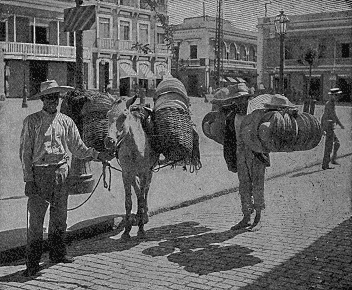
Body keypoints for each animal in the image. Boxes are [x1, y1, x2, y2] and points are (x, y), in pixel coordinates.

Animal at [104, 95, 159, 240]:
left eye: (124, 116)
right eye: (108, 115)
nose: (109, 141)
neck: (134, 147)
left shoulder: (144, 173)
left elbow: (141, 198)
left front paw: (141, 229)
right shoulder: (126, 174)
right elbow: (128, 201)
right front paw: (126, 231)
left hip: (149, 171)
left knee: (145, 192)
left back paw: (144, 216)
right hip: (133, 174)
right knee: (138, 190)